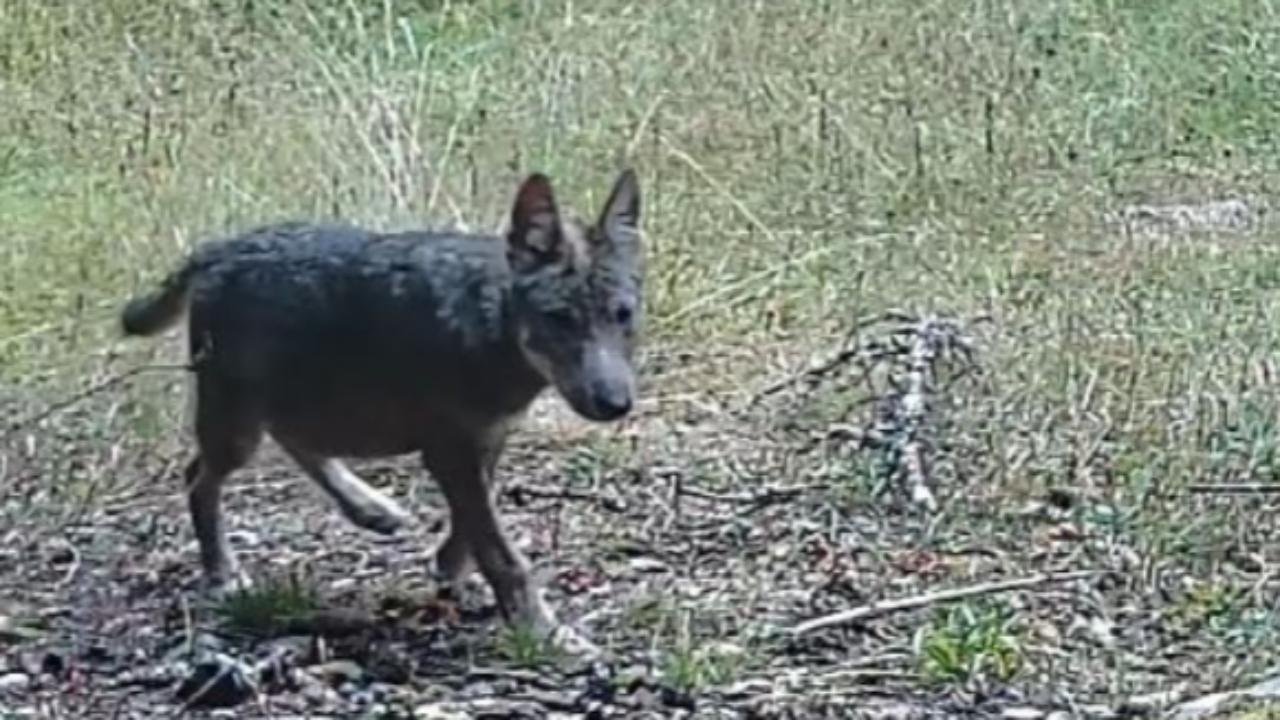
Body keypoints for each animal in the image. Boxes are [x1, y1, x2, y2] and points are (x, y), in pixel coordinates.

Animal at [120, 169, 643, 654]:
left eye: (623, 316)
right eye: (560, 319)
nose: (616, 404)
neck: (489, 327)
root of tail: (218, 246)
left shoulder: (486, 440)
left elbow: (474, 523)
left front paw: (450, 567)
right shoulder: (451, 450)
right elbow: (503, 553)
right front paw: (545, 631)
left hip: (305, 402)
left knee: (293, 442)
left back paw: (370, 508)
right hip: (239, 431)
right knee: (197, 478)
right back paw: (224, 574)